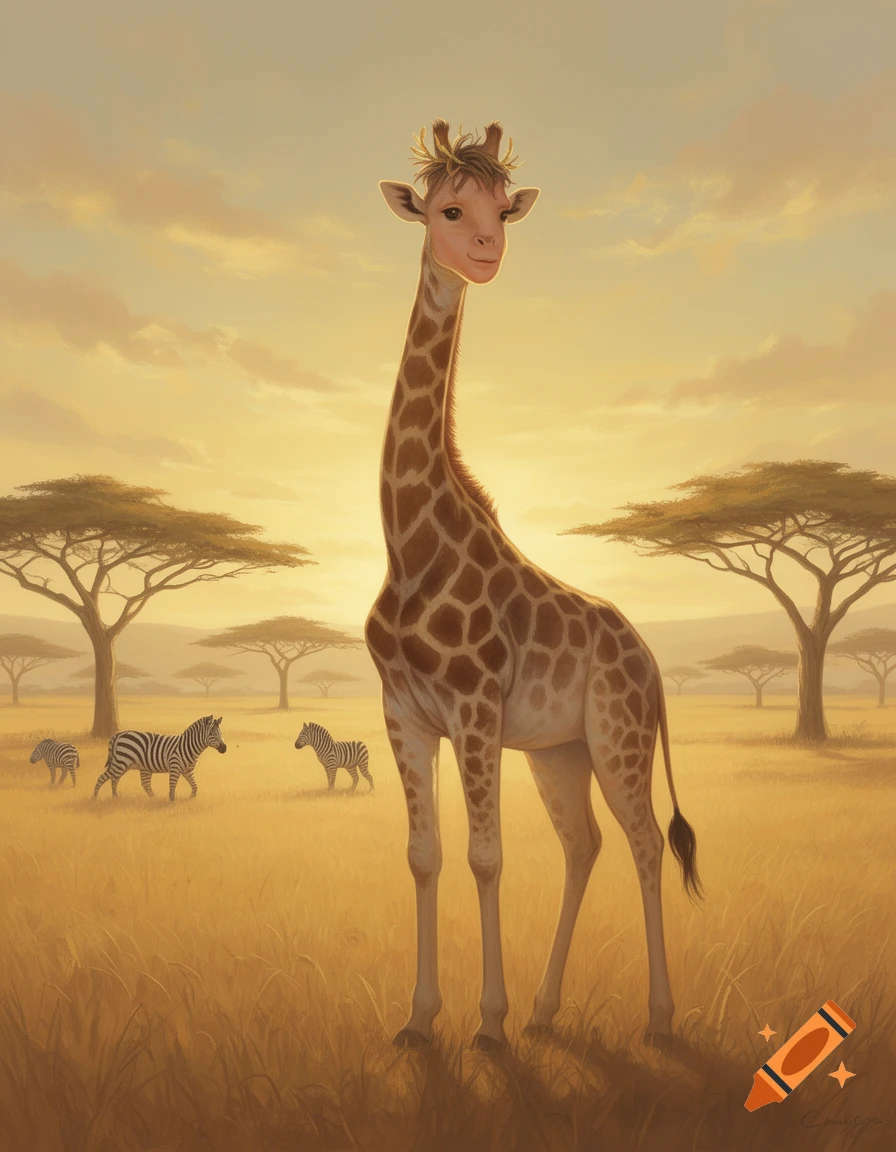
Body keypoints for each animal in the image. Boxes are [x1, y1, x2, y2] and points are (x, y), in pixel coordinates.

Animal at [93, 715, 227, 801]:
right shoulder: (174, 767)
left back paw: (150, 799)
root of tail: (118, 734)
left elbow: (195, 786)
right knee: (106, 778)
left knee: (134, 782)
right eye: (211, 734)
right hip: (121, 762)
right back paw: (98, 798)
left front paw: (191, 800)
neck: (189, 746)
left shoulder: (188, 771)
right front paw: (171, 802)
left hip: (128, 764)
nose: (224, 748)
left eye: (220, 733)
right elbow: (172, 787)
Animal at [365, 119, 703, 1052]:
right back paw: (550, 1011)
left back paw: (658, 1018)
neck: (408, 543)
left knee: (643, 844)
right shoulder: (405, 713)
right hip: (560, 751)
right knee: (584, 846)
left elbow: (486, 857)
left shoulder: (475, 708)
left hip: (617, 738)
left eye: (499, 208)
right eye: (447, 208)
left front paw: (487, 1022)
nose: (487, 253)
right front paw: (418, 1020)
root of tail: (653, 663)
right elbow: (423, 856)